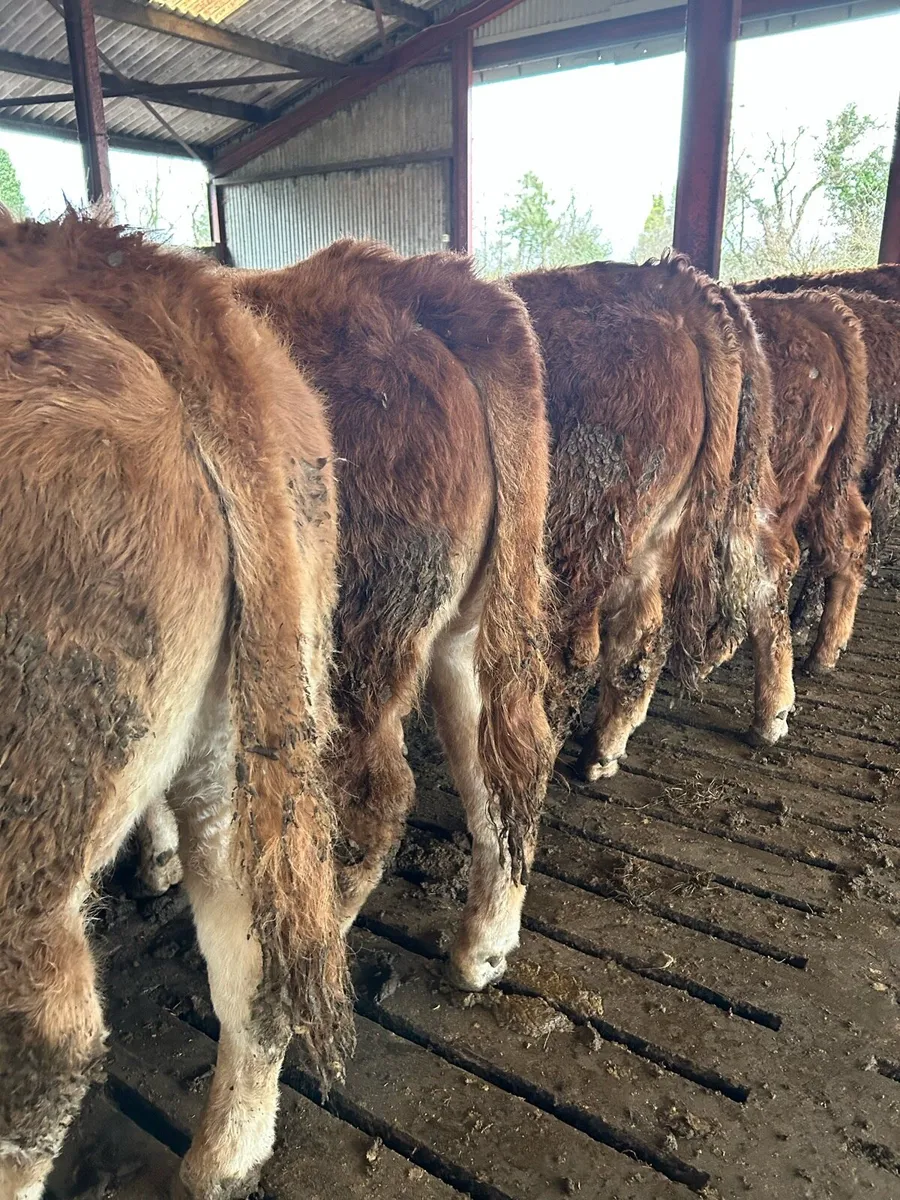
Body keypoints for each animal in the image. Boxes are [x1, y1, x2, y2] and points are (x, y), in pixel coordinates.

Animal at [142, 240, 554, 993]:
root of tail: (413, 279)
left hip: (356, 645)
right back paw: (484, 943)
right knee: (504, 763)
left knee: (375, 799)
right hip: (468, 626)